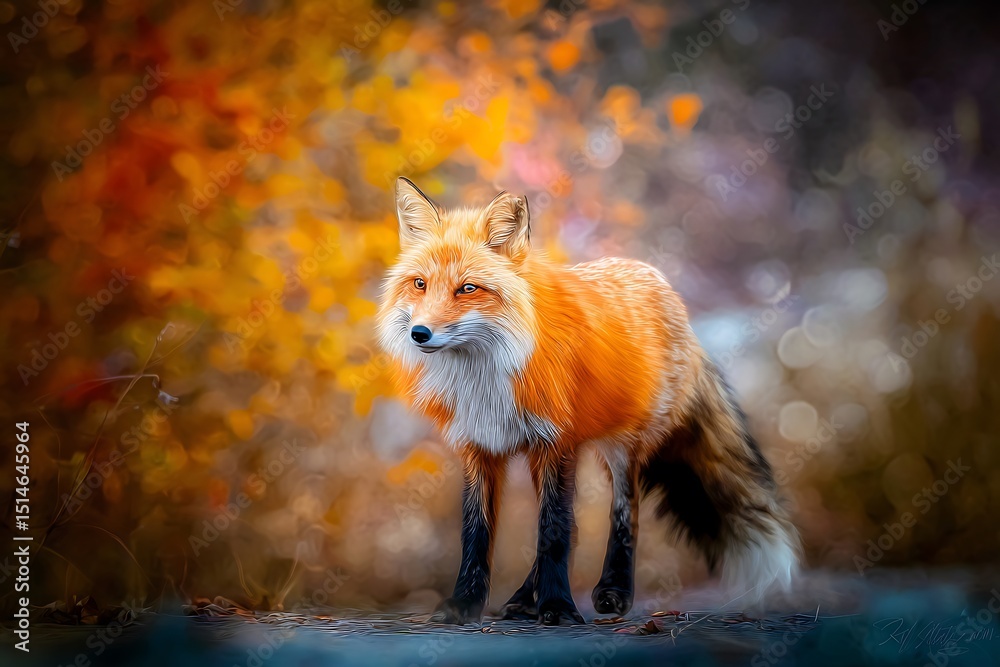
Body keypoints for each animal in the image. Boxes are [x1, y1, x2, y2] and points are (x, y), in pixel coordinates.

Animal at [376, 178, 800, 626]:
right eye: (420, 284)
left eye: (468, 289)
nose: (419, 333)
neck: (486, 377)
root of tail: (663, 286)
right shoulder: (480, 446)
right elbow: (477, 534)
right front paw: (464, 604)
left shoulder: (557, 442)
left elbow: (554, 530)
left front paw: (558, 607)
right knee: (577, 526)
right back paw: (524, 599)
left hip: (621, 447)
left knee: (625, 514)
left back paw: (612, 591)